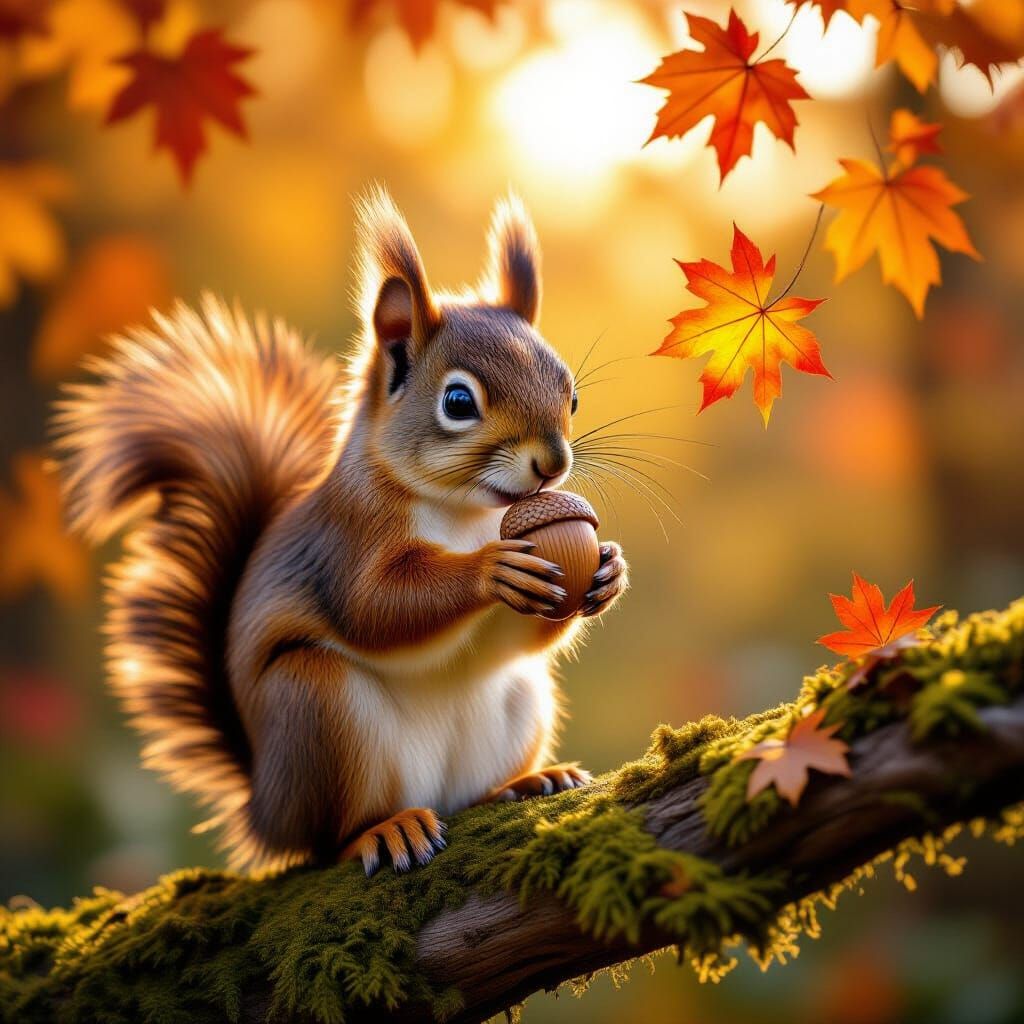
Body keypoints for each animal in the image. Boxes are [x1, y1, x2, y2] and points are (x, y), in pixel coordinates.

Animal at [54, 187, 629, 874]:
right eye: (458, 403)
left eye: (572, 396)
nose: (553, 464)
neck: (467, 513)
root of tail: (265, 808)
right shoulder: (346, 539)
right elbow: (375, 606)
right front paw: (489, 570)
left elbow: (519, 637)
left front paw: (608, 569)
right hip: (317, 709)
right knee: (330, 837)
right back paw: (384, 830)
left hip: (520, 702)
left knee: (473, 786)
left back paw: (524, 782)